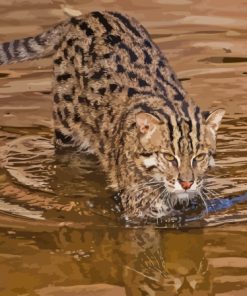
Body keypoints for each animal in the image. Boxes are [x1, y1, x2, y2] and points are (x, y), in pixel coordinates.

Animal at [0, 11, 225, 220]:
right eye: (169, 156)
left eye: (200, 156)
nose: (186, 183)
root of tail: (82, 17)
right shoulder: (138, 208)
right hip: (66, 129)